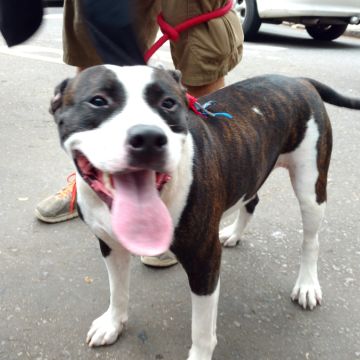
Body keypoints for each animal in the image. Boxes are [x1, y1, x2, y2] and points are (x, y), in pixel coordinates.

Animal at [50, 65, 360, 360]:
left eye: (169, 103)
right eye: (98, 101)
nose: (148, 137)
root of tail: (298, 80)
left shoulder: (204, 261)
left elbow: (200, 328)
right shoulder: (110, 246)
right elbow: (117, 289)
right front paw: (113, 323)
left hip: (311, 186)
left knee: (311, 240)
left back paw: (307, 284)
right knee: (252, 200)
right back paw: (234, 233)